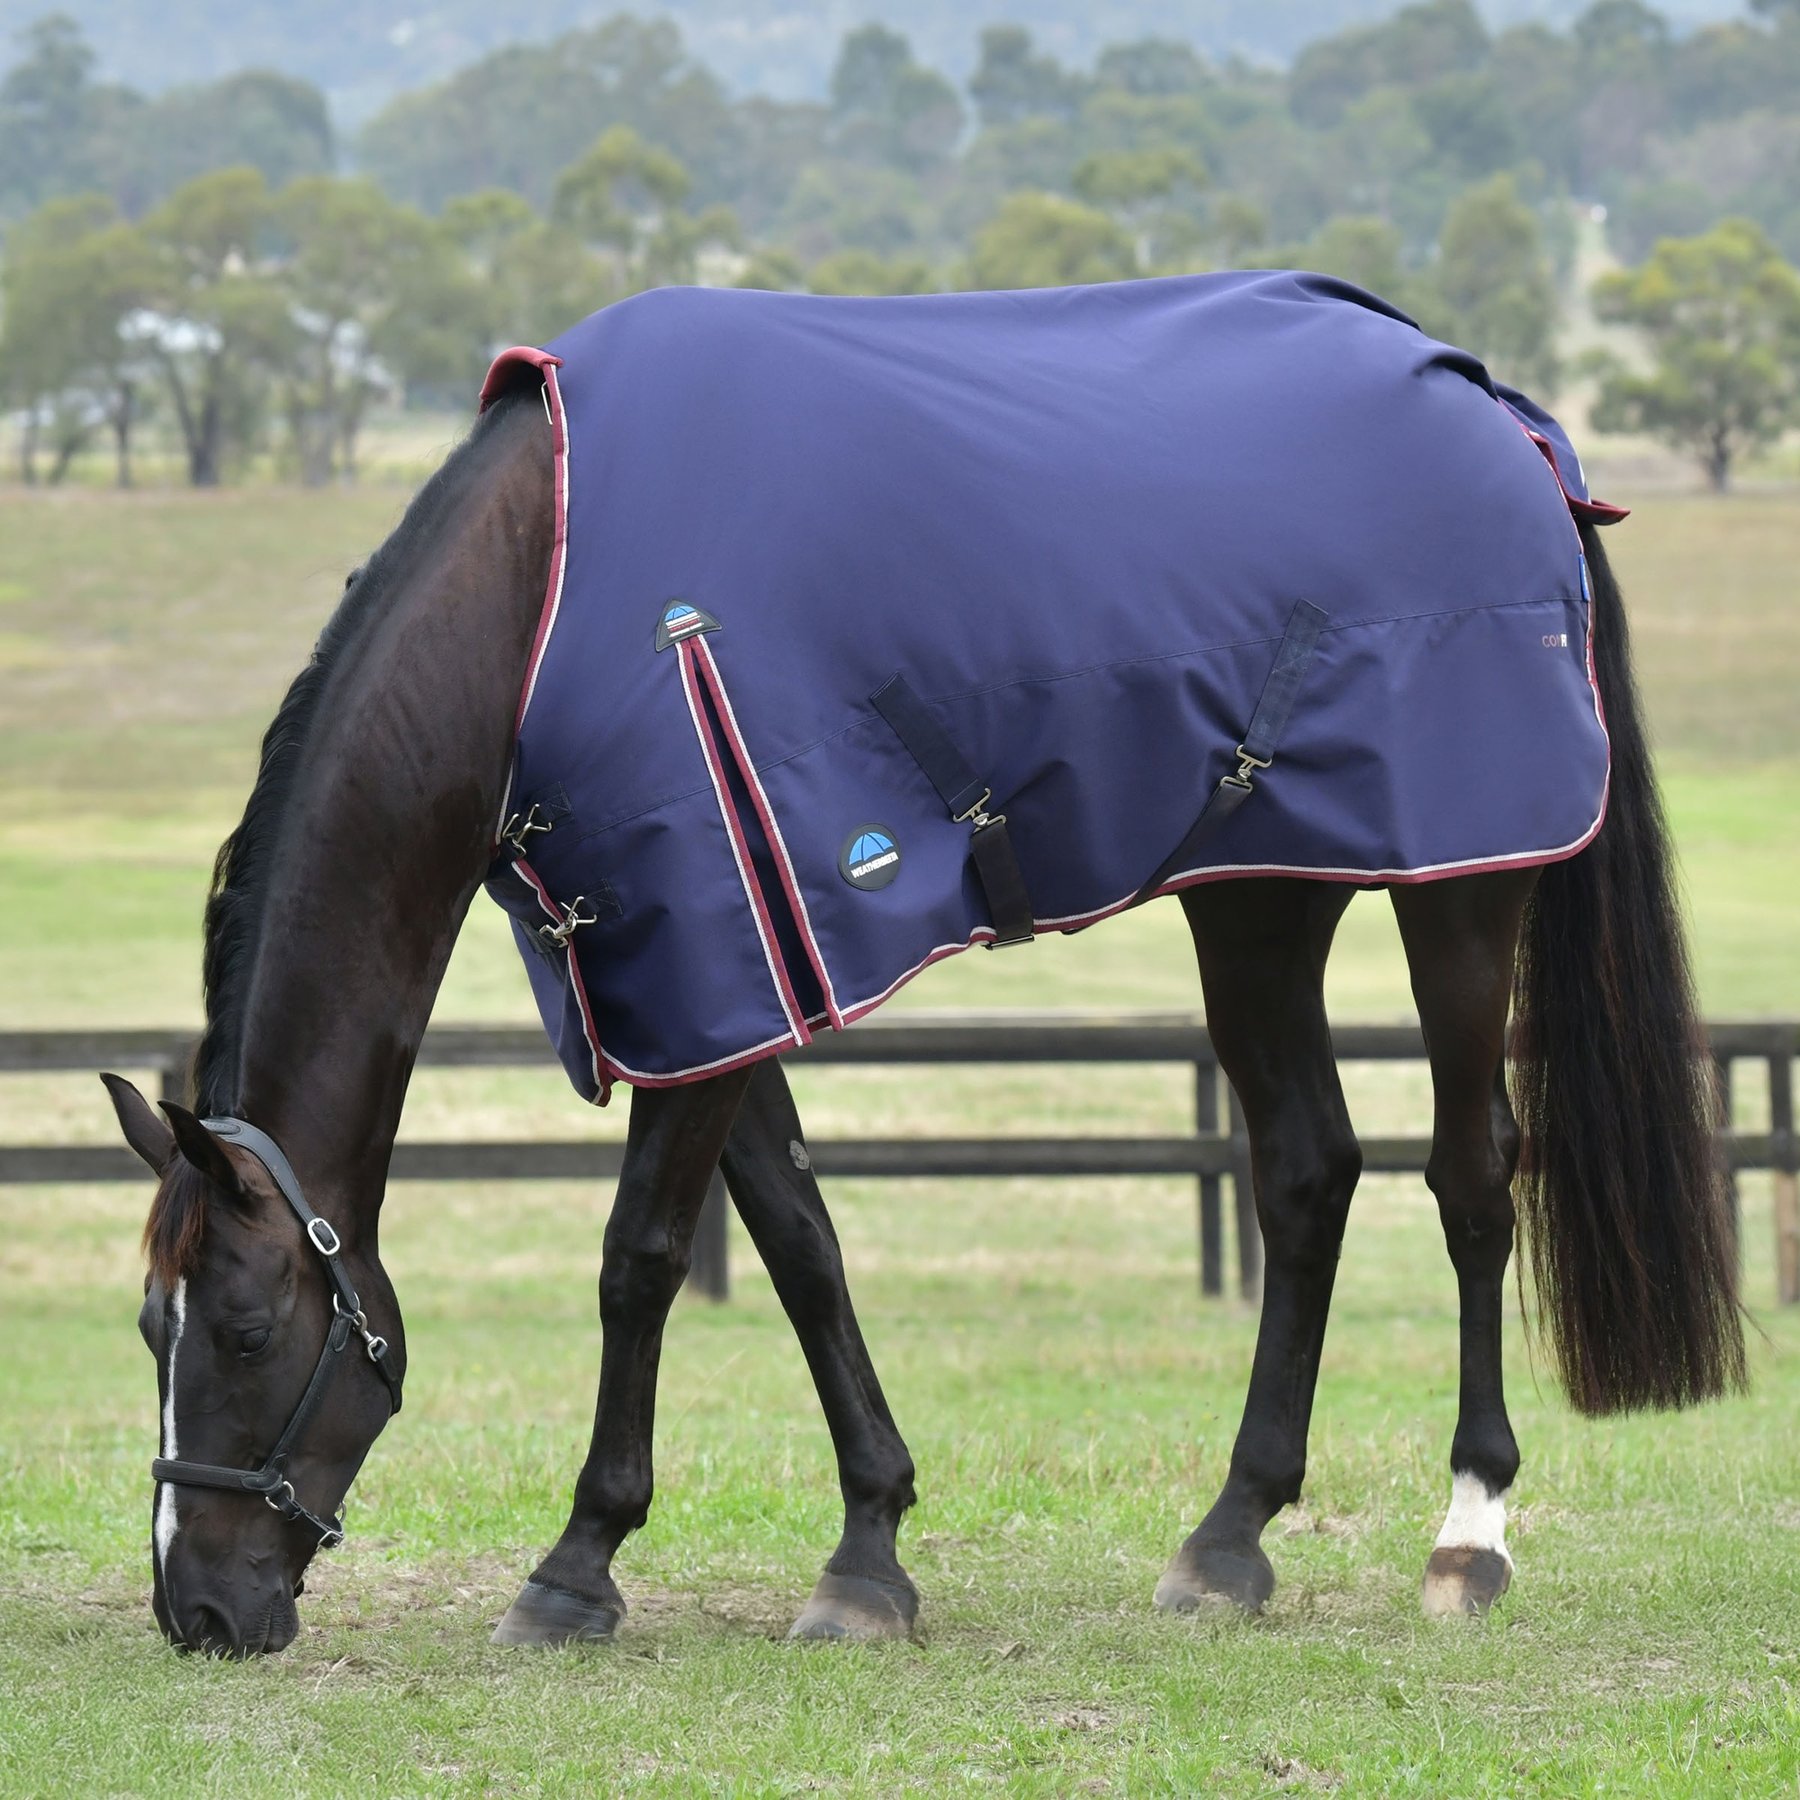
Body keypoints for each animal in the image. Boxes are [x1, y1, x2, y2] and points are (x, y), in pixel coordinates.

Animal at [103, 278, 1744, 1658]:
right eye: (148, 1329)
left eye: (246, 1329)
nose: (200, 1610)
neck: (549, 595)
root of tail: (1499, 413)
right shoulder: (701, 977)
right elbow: (800, 1245)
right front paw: (868, 1546)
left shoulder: (715, 945)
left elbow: (642, 1258)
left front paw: (576, 1566)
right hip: (1258, 899)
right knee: (1304, 1173)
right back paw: (1229, 1538)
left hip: (1461, 891)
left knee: (1473, 1175)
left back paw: (1469, 1533)